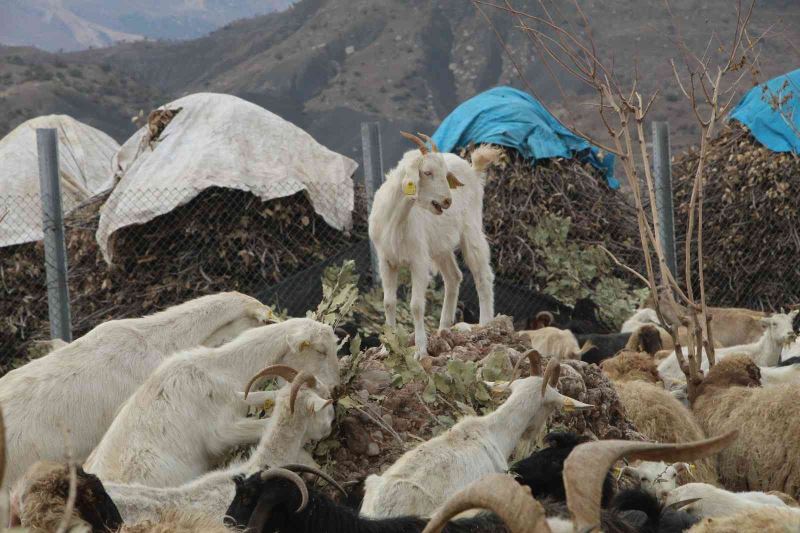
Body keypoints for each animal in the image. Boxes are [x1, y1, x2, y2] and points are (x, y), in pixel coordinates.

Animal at [83, 318, 338, 488]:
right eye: (321, 350)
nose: (334, 387)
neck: (218, 368)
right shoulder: (221, 432)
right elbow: (263, 427)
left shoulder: (238, 396)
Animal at [368, 132, 500, 358]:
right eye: (427, 172)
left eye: (445, 175)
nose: (447, 201)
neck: (395, 220)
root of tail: (472, 170)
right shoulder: (386, 261)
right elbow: (388, 302)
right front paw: (387, 348)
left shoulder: (418, 260)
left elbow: (416, 305)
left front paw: (420, 351)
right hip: (440, 246)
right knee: (454, 277)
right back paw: (443, 328)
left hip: (471, 230)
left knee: (483, 275)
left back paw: (484, 324)